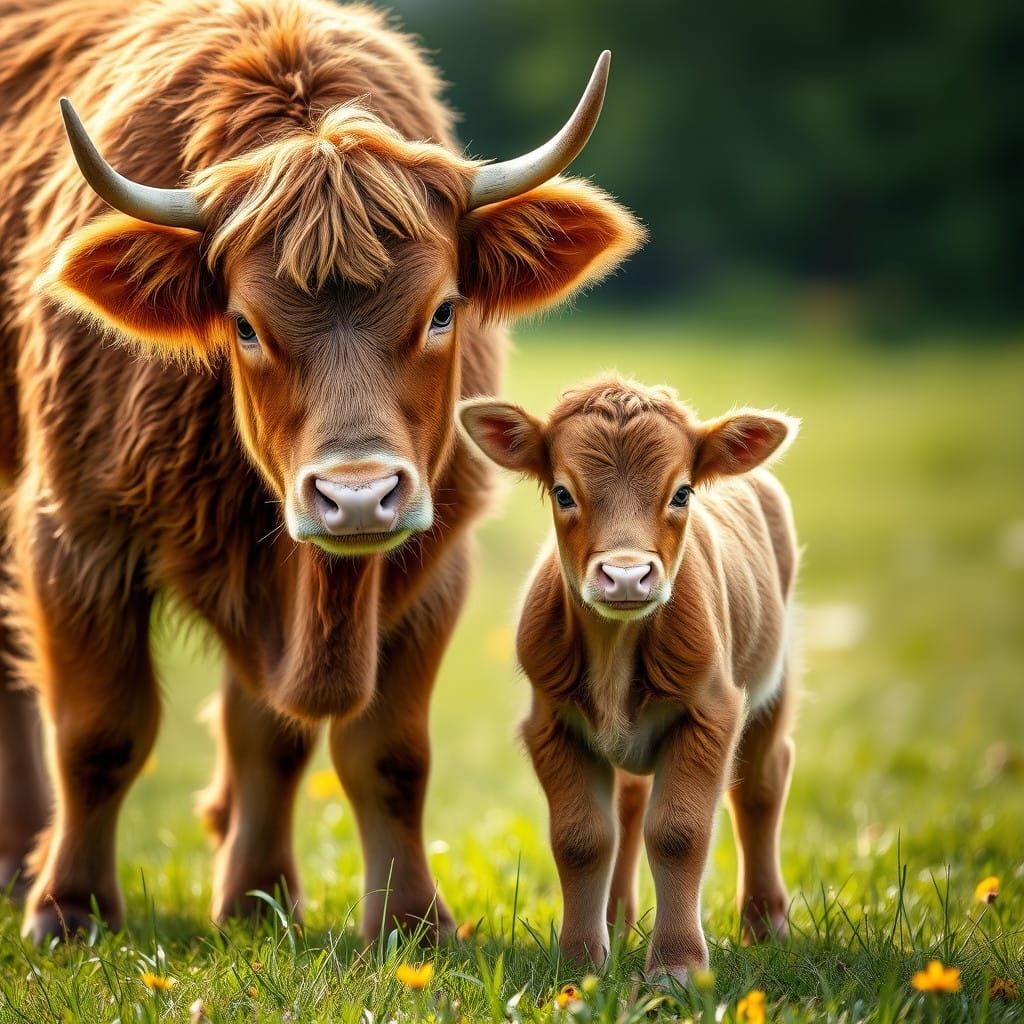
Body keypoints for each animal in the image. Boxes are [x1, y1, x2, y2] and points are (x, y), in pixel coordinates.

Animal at [0, 0, 644, 943]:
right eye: (243, 324)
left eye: (443, 310)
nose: (357, 496)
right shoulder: (77, 532)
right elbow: (99, 733)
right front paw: (69, 908)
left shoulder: (433, 554)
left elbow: (369, 749)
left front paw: (346, 911)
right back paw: (21, 864)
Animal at [459, 377, 799, 982]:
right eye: (563, 493)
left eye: (682, 493)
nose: (624, 575)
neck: (615, 650)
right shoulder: (550, 724)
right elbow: (582, 838)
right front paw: (580, 962)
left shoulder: (711, 712)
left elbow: (680, 832)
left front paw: (677, 966)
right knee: (630, 805)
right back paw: (616, 921)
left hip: (773, 675)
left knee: (761, 784)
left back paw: (765, 925)